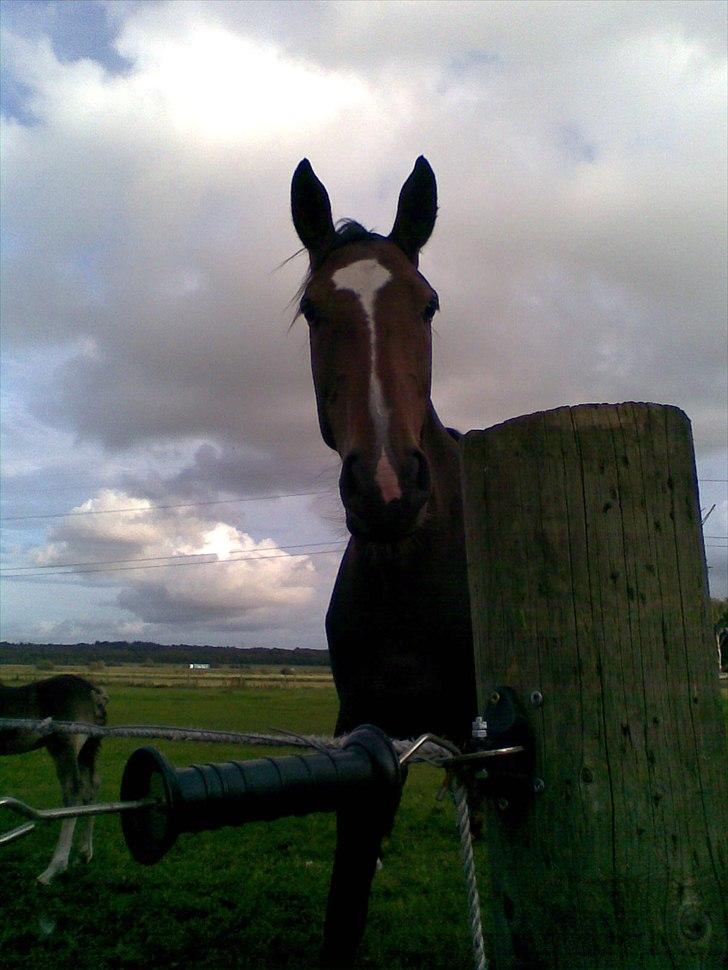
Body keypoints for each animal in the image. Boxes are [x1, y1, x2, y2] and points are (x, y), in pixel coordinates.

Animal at [0, 676, 107, 880]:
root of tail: (94, 694)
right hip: (86, 749)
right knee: (92, 785)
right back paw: (84, 854)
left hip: (64, 746)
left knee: (73, 790)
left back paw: (53, 868)